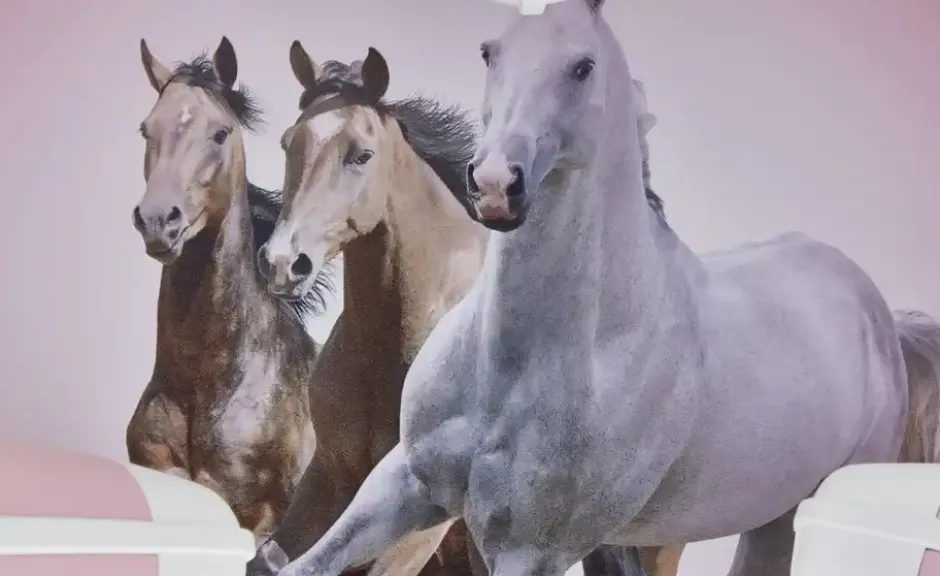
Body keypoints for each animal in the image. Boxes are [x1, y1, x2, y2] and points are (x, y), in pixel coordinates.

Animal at [267, 2, 940, 576]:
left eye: (583, 66)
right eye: (490, 52)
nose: (495, 185)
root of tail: (883, 324)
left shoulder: (521, 548)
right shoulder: (400, 485)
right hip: (766, 520)